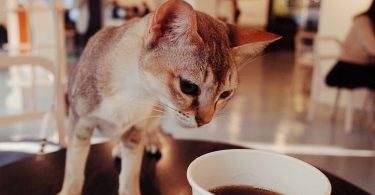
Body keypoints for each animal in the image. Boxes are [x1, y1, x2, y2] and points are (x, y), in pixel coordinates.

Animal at [58, 0, 280, 195]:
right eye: (188, 86)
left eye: (225, 94)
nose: (205, 121)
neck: (132, 92)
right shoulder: (79, 124)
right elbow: (73, 170)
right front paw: (69, 190)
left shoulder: (137, 128)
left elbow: (130, 172)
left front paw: (130, 189)